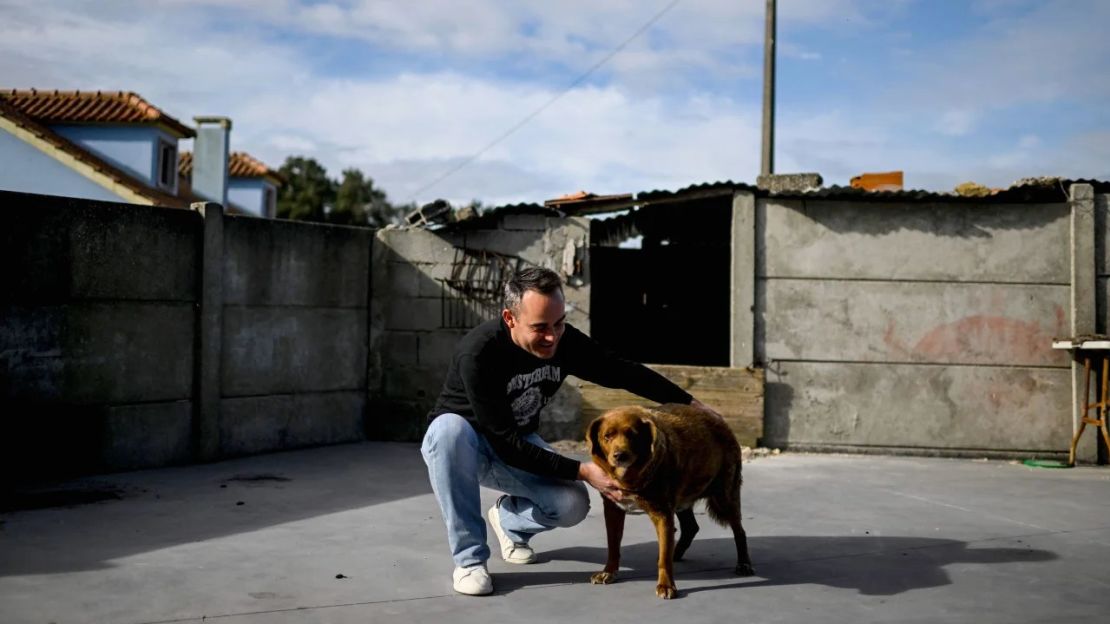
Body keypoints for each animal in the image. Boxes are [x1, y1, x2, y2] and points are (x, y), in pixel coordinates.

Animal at [581, 399, 754, 595]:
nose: (620, 456)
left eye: (633, 435)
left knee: (739, 531)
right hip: (684, 498)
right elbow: (613, 546)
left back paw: (744, 564)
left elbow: (664, 559)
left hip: (725, 497)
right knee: (691, 527)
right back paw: (676, 553)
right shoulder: (613, 509)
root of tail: (721, 421)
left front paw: (666, 585)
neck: (630, 477)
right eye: (607, 436)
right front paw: (608, 572)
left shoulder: (662, 512)